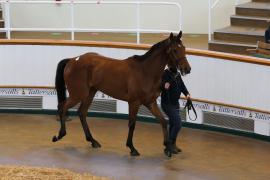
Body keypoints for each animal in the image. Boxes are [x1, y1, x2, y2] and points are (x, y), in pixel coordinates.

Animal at [52, 31, 191, 158]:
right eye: (174, 50)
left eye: (184, 48)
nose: (187, 69)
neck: (145, 71)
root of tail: (72, 60)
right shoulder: (134, 103)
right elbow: (132, 124)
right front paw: (132, 148)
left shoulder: (150, 103)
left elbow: (163, 121)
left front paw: (167, 147)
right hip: (78, 94)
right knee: (62, 107)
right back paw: (59, 135)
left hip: (90, 93)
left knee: (81, 112)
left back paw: (92, 141)